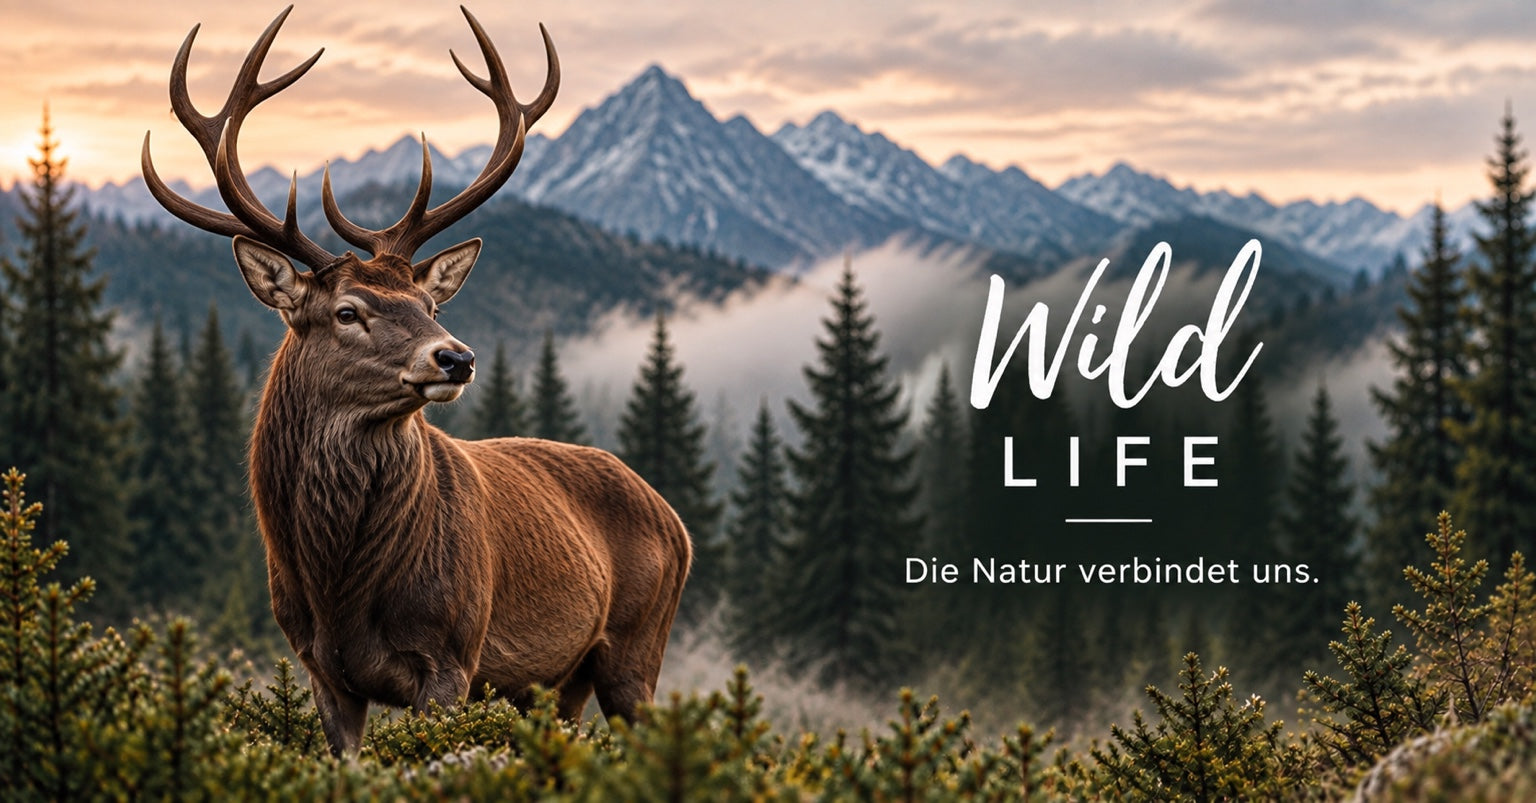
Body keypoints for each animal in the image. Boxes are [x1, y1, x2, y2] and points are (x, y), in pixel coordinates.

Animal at [141, 6, 691, 756]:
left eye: (431, 306)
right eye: (348, 311)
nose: (456, 358)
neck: (339, 585)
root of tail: (677, 520)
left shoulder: (453, 653)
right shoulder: (320, 667)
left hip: (639, 644)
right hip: (559, 685)